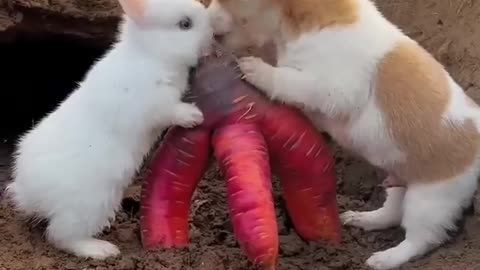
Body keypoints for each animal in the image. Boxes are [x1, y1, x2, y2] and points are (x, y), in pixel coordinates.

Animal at [5, 0, 212, 260]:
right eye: (185, 24)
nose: (214, 29)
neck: (151, 55)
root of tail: (27, 193)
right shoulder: (152, 103)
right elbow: (170, 110)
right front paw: (195, 116)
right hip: (89, 206)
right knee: (61, 236)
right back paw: (103, 250)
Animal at [208, 0, 480, 270]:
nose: (203, 15)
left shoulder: (333, 88)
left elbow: (288, 80)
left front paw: (255, 69)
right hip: (401, 182)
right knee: (391, 213)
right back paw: (362, 219)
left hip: (430, 200)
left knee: (421, 239)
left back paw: (384, 259)